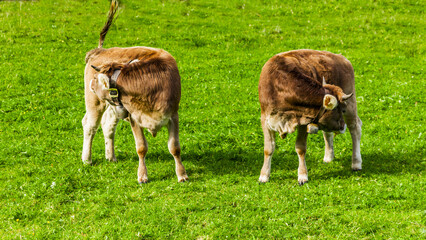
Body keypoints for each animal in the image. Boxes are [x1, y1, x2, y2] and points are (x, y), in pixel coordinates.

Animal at [81, 0, 188, 183]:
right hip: (95, 103)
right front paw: (142, 175)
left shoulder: (173, 115)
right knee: (89, 125)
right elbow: (141, 147)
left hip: (113, 107)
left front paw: (181, 175)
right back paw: (87, 159)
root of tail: (101, 50)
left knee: (107, 124)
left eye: (98, 79)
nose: (92, 83)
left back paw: (111, 157)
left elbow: (175, 147)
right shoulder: (133, 117)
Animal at [256, 48, 362, 184]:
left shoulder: (303, 121)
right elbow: (268, 149)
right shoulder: (265, 119)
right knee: (327, 132)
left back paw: (356, 163)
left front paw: (302, 175)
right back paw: (328, 156)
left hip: (351, 104)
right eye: (339, 109)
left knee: (355, 128)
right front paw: (264, 175)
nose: (342, 126)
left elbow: (300, 148)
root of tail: (341, 58)